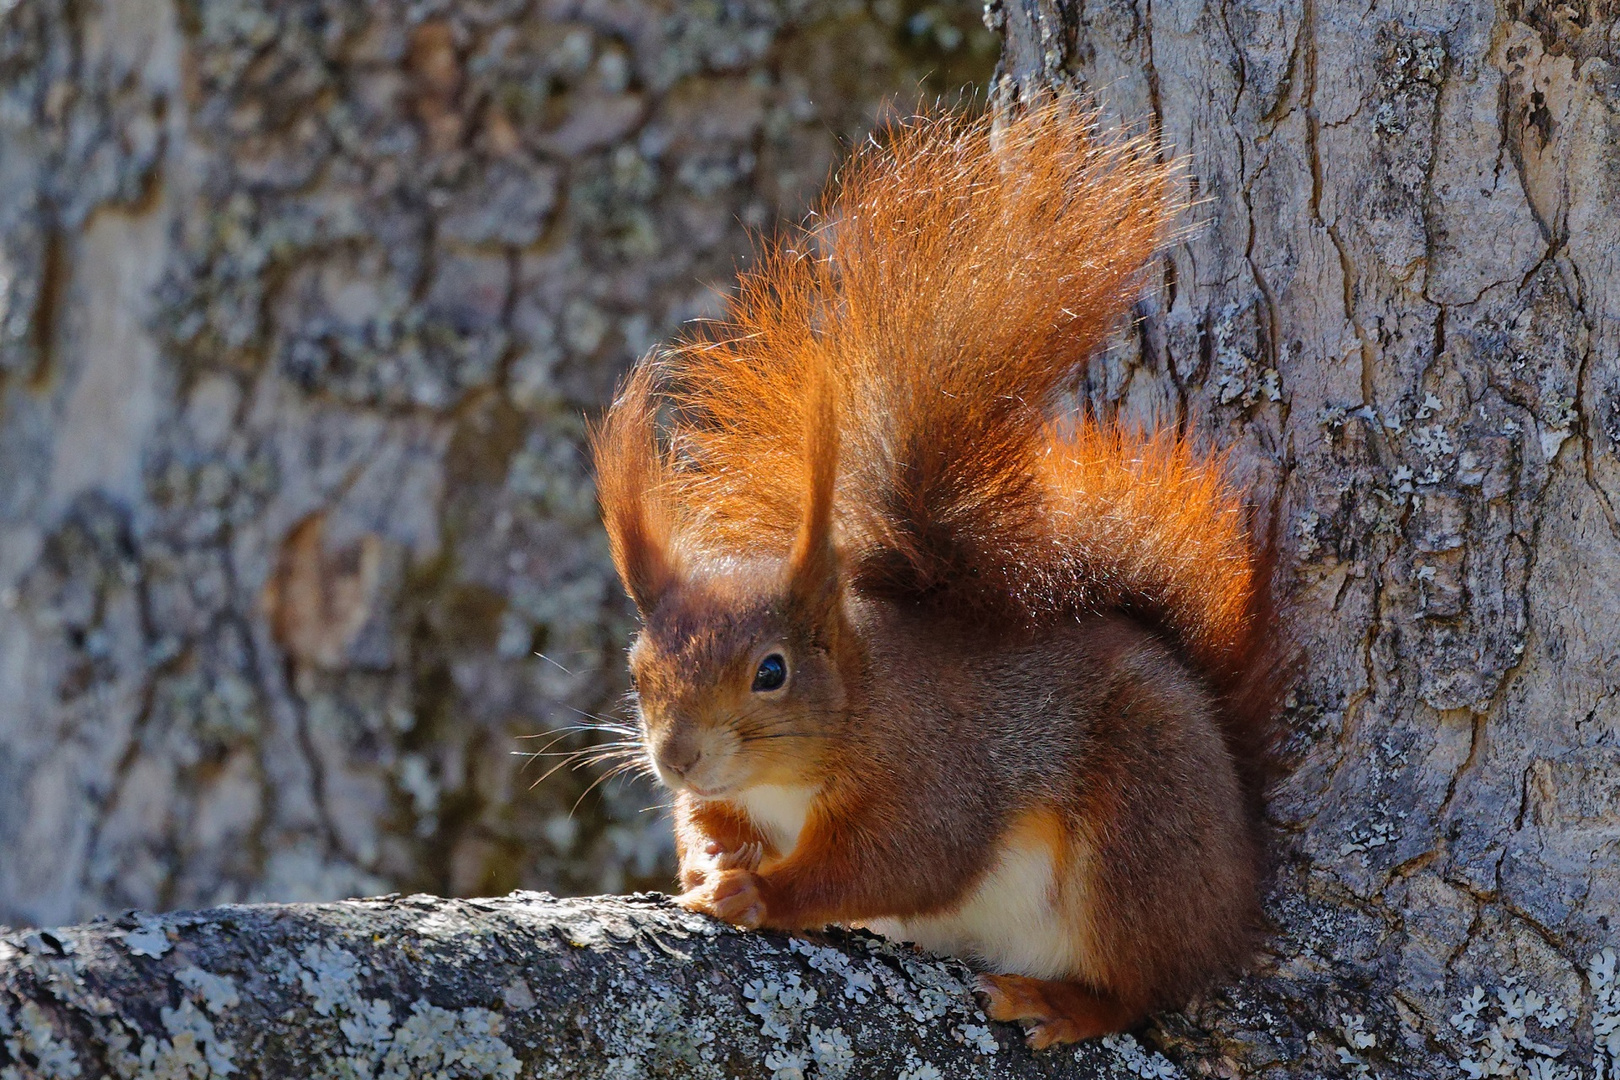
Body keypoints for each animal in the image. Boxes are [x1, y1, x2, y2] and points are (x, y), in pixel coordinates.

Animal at [589, 101, 1283, 1049]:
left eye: (772, 671)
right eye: (637, 674)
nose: (678, 756)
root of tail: (1236, 885)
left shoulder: (935, 769)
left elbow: (903, 860)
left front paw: (760, 891)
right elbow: (705, 822)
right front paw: (712, 859)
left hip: (1143, 831)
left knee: (1144, 982)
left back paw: (1063, 1002)